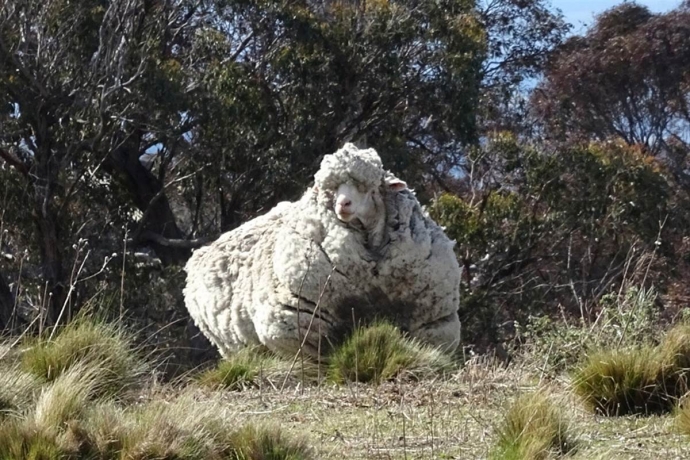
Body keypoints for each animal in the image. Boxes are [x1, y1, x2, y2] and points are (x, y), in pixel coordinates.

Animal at [183, 143, 461, 359]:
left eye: (368, 187)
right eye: (331, 190)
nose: (343, 204)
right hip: (233, 345)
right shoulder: (299, 325)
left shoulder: (432, 323)